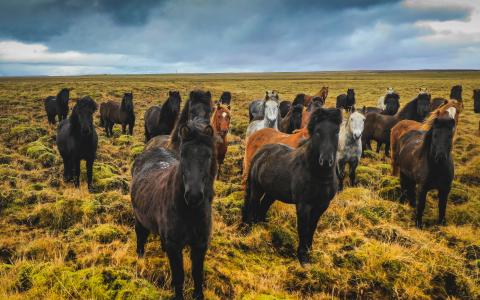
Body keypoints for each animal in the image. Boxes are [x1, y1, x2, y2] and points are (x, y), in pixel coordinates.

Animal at [129, 120, 216, 300]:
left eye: (208, 156)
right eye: (183, 155)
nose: (194, 196)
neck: (190, 213)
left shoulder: (200, 245)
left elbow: (197, 274)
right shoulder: (175, 246)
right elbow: (179, 276)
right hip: (140, 220)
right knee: (140, 237)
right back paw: (140, 261)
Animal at [244, 108, 342, 264]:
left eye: (337, 131)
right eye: (318, 131)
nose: (326, 161)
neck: (317, 175)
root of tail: (261, 152)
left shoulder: (322, 205)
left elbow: (312, 227)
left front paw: (308, 253)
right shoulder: (303, 205)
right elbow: (303, 228)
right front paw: (303, 258)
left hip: (272, 193)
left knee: (262, 207)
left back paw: (262, 229)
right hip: (256, 189)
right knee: (252, 206)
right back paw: (249, 230)